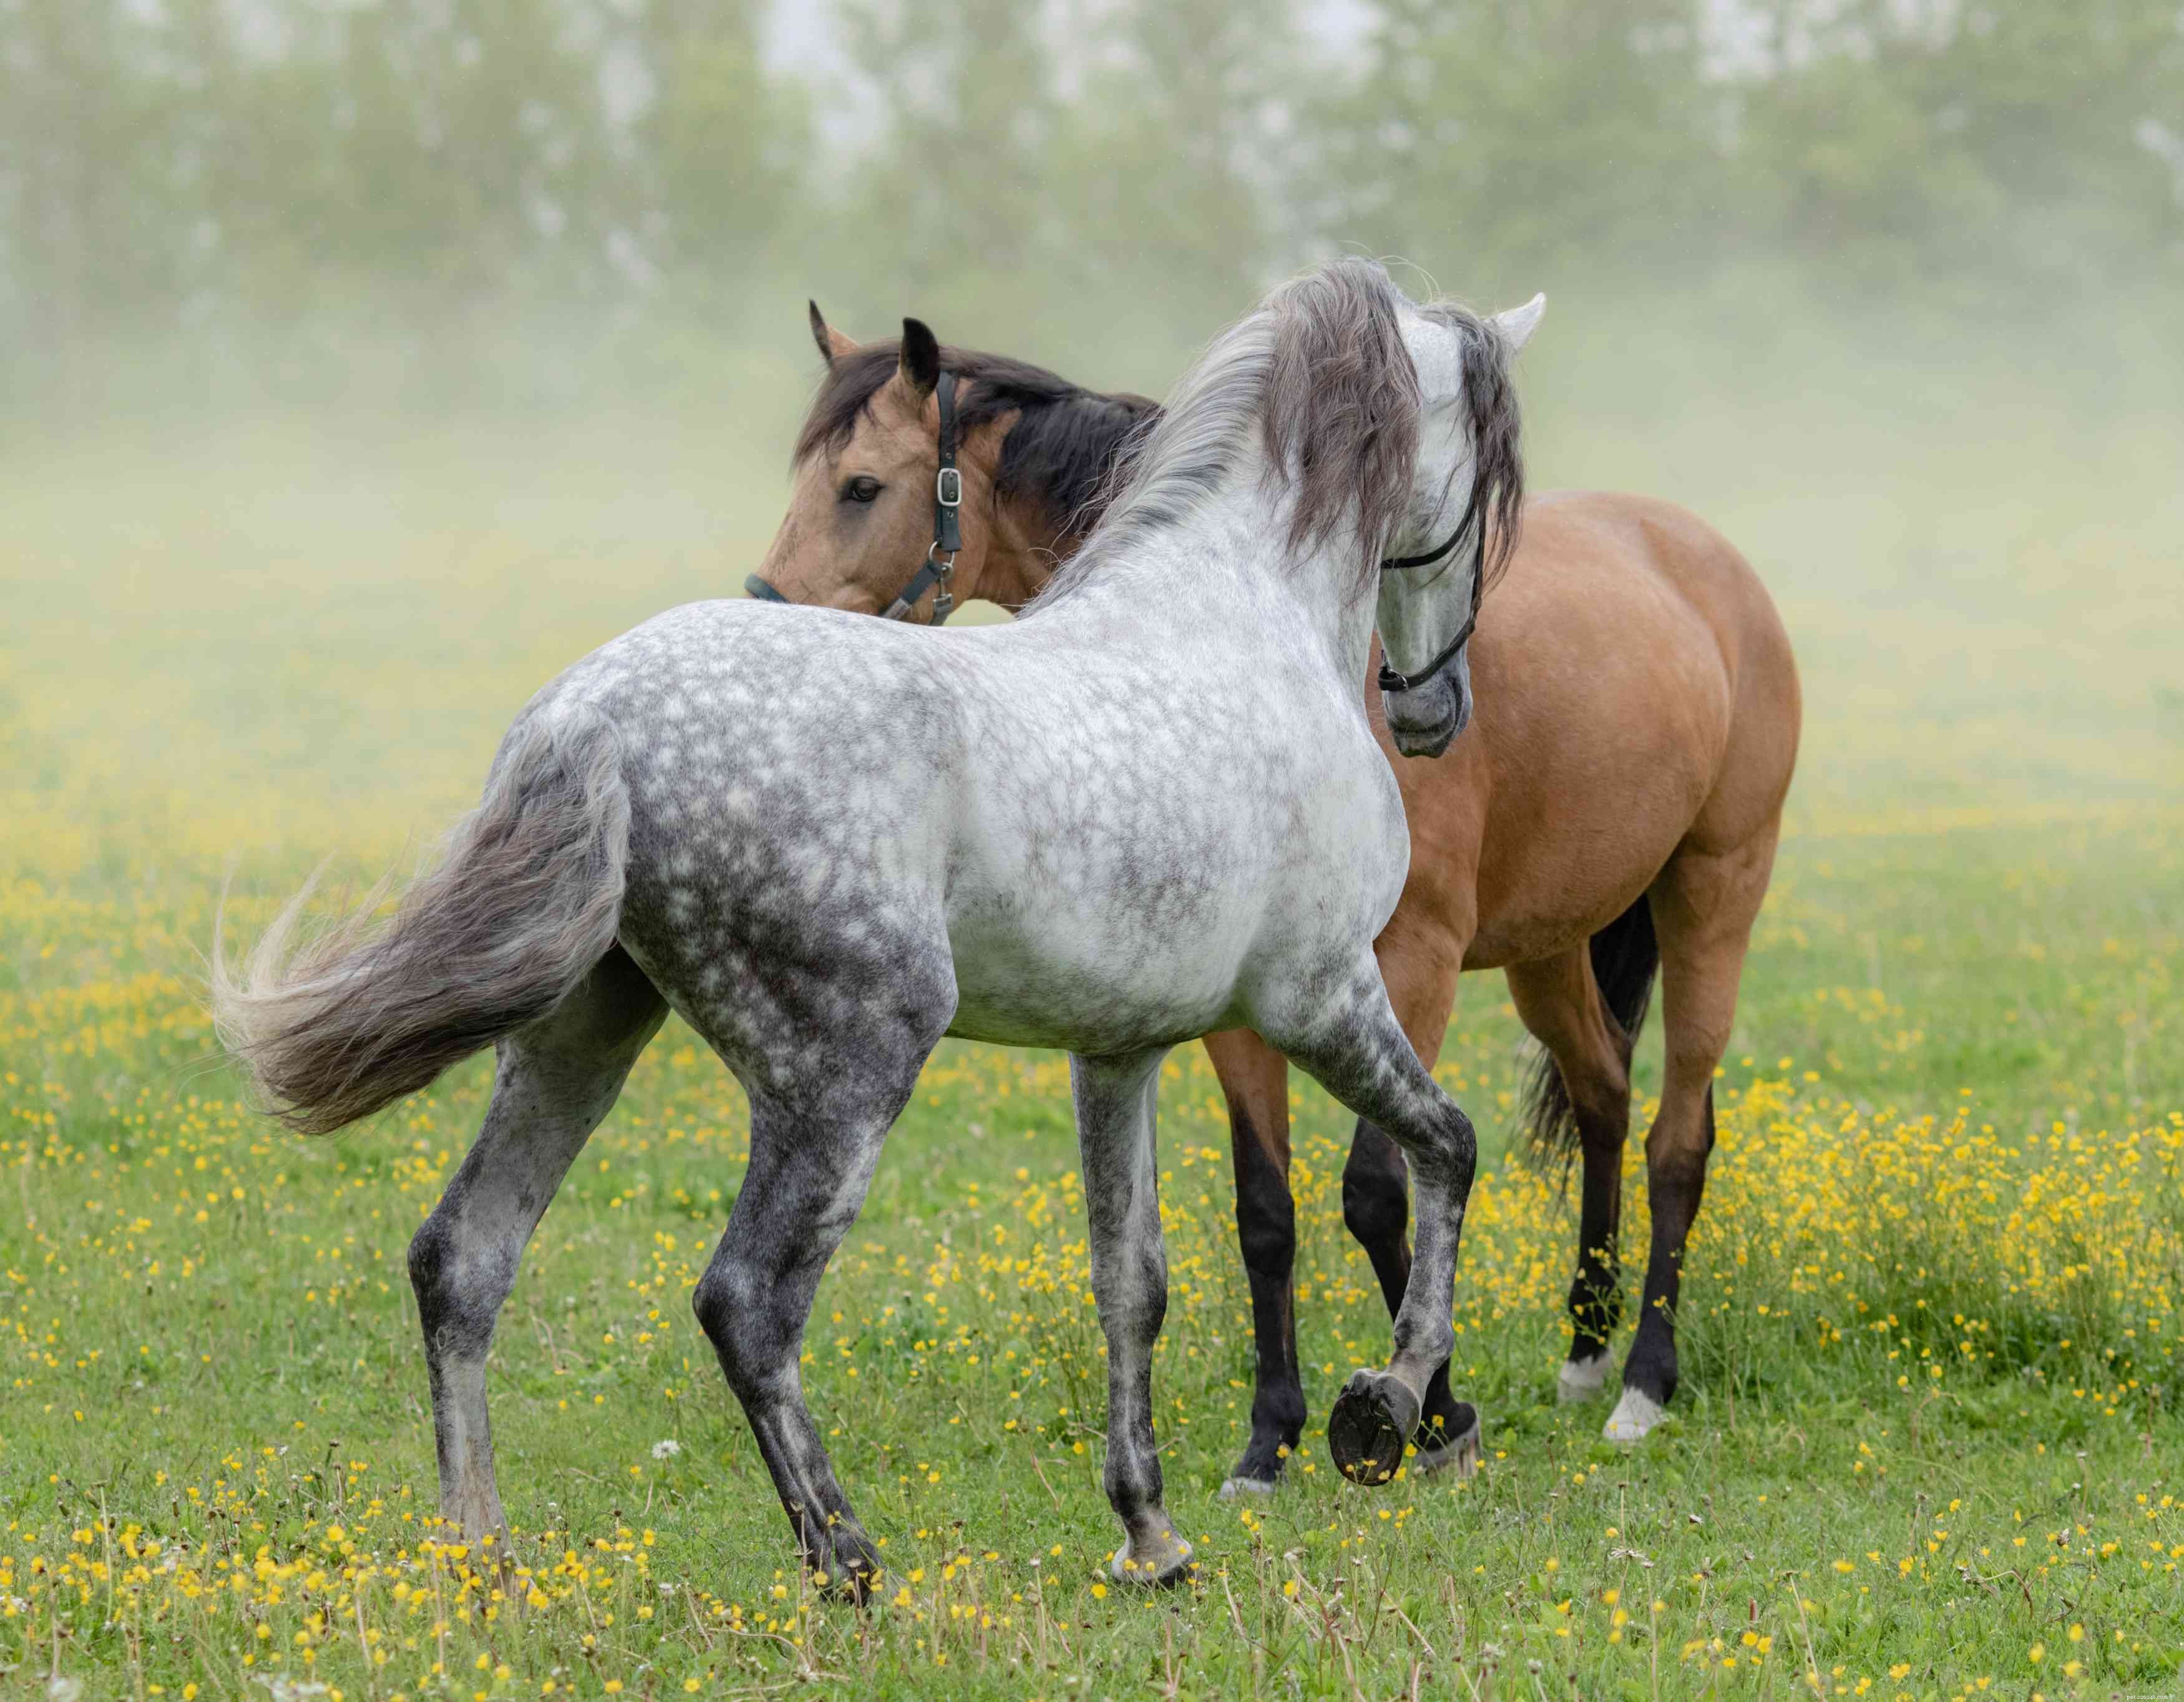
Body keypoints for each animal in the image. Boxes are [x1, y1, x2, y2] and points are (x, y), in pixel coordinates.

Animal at [212, 258, 1539, 1596]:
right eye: (1485, 475)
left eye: (859, 486)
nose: (1434, 708)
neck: (1244, 613)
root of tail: (589, 721)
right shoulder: (1318, 996)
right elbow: (1448, 1148)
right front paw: (1389, 1407)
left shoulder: (1120, 1050)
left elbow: (1132, 1282)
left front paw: (1149, 1535)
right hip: (849, 1066)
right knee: (746, 1300)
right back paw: (846, 1558)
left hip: (578, 1037)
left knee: (464, 1259)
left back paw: (483, 1555)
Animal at [749, 298, 1800, 1480]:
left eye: (860, 486)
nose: (764, 622)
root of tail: (1703, 559)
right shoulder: (1239, 1004)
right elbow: (1269, 1211)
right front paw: (1272, 1435)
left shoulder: (1412, 965)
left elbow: (1383, 1188)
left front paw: (1432, 1413)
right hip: (1549, 946)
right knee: (1605, 1093)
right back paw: (1584, 1348)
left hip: (1713, 894)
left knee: (1678, 1140)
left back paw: (1644, 1381)